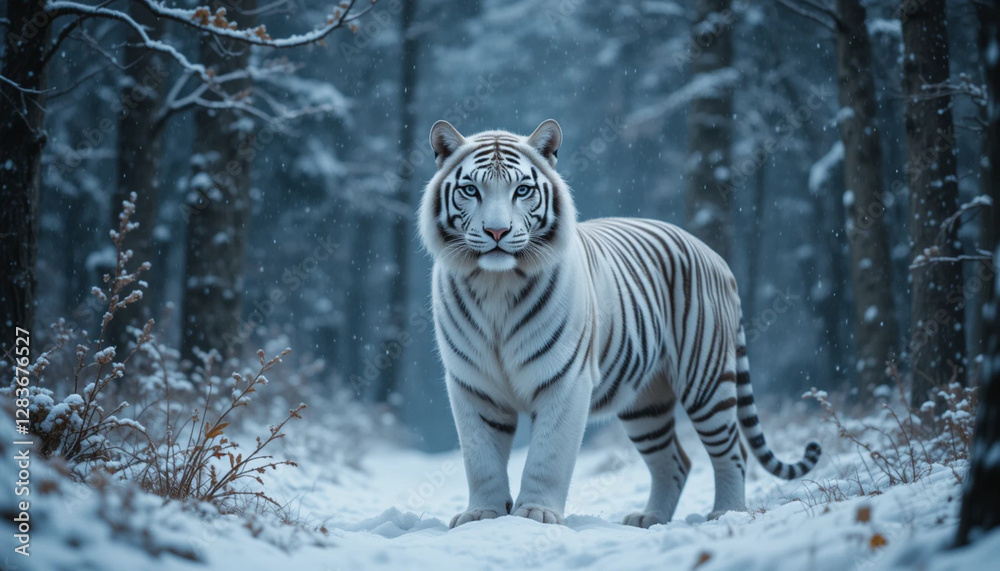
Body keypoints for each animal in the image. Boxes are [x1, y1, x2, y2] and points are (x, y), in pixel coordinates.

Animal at [417, 119, 822, 529]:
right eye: (471, 189)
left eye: (523, 190)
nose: (497, 232)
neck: (496, 284)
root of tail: (715, 257)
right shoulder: (472, 383)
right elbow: (480, 457)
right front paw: (482, 514)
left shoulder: (565, 378)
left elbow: (547, 456)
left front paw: (535, 513)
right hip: (646, 403)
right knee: (674, 461)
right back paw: (650, 519)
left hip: (706, 379)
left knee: (732, 449)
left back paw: (727, 513)